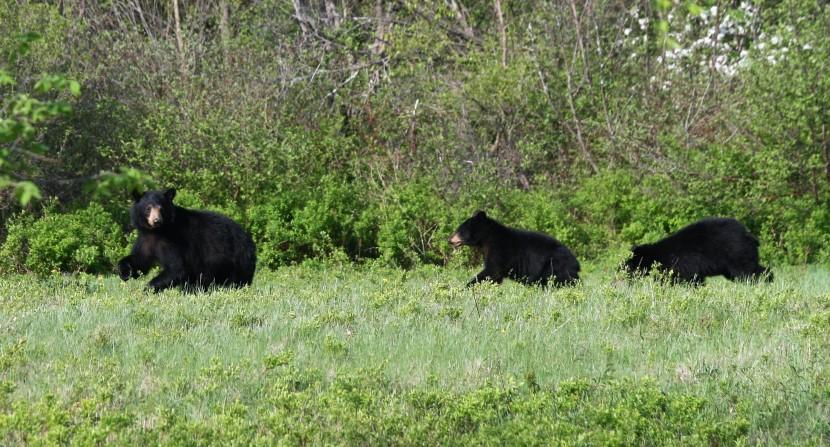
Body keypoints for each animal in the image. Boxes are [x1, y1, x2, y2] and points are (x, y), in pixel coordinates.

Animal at [118, 190, 256, 292]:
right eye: (148, 208)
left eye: (161, 209)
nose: (157, 220)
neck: (157, 231)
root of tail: (249, 241)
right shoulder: (145, 239)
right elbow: (141, 260)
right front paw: (125, 272)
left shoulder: (174, 240)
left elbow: (177, 268)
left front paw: (147, 290)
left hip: (234, 260)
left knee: (233, 280)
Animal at [452, 211, 580, 288]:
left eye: (460, 231)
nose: (450, 240)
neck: (487, 239)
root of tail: (576, 263)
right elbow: (494, 275)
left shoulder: (499, 250)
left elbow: (493, 271)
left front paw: (467, 286)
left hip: (553, 265)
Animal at [628, 218, 776, 286]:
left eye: (628, 264)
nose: (622, 271)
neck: (658, 254)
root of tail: (749, 235)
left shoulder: (681, 263)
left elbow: (689, 278)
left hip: (736, 254)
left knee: (746, 272)